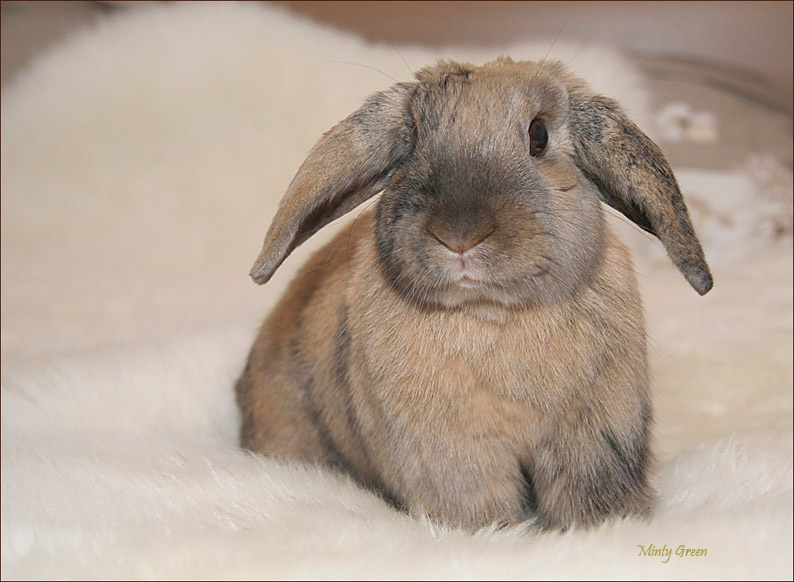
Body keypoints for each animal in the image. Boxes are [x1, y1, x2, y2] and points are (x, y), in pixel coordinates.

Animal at [235, 57, 713, 532]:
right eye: (412, 141)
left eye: (538, 135)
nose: (459, 236)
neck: (491, 313)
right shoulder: (451, 454)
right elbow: (479, 504)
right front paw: (493, 535)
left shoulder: (596, 437)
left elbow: (587, 495)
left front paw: (605, 526)